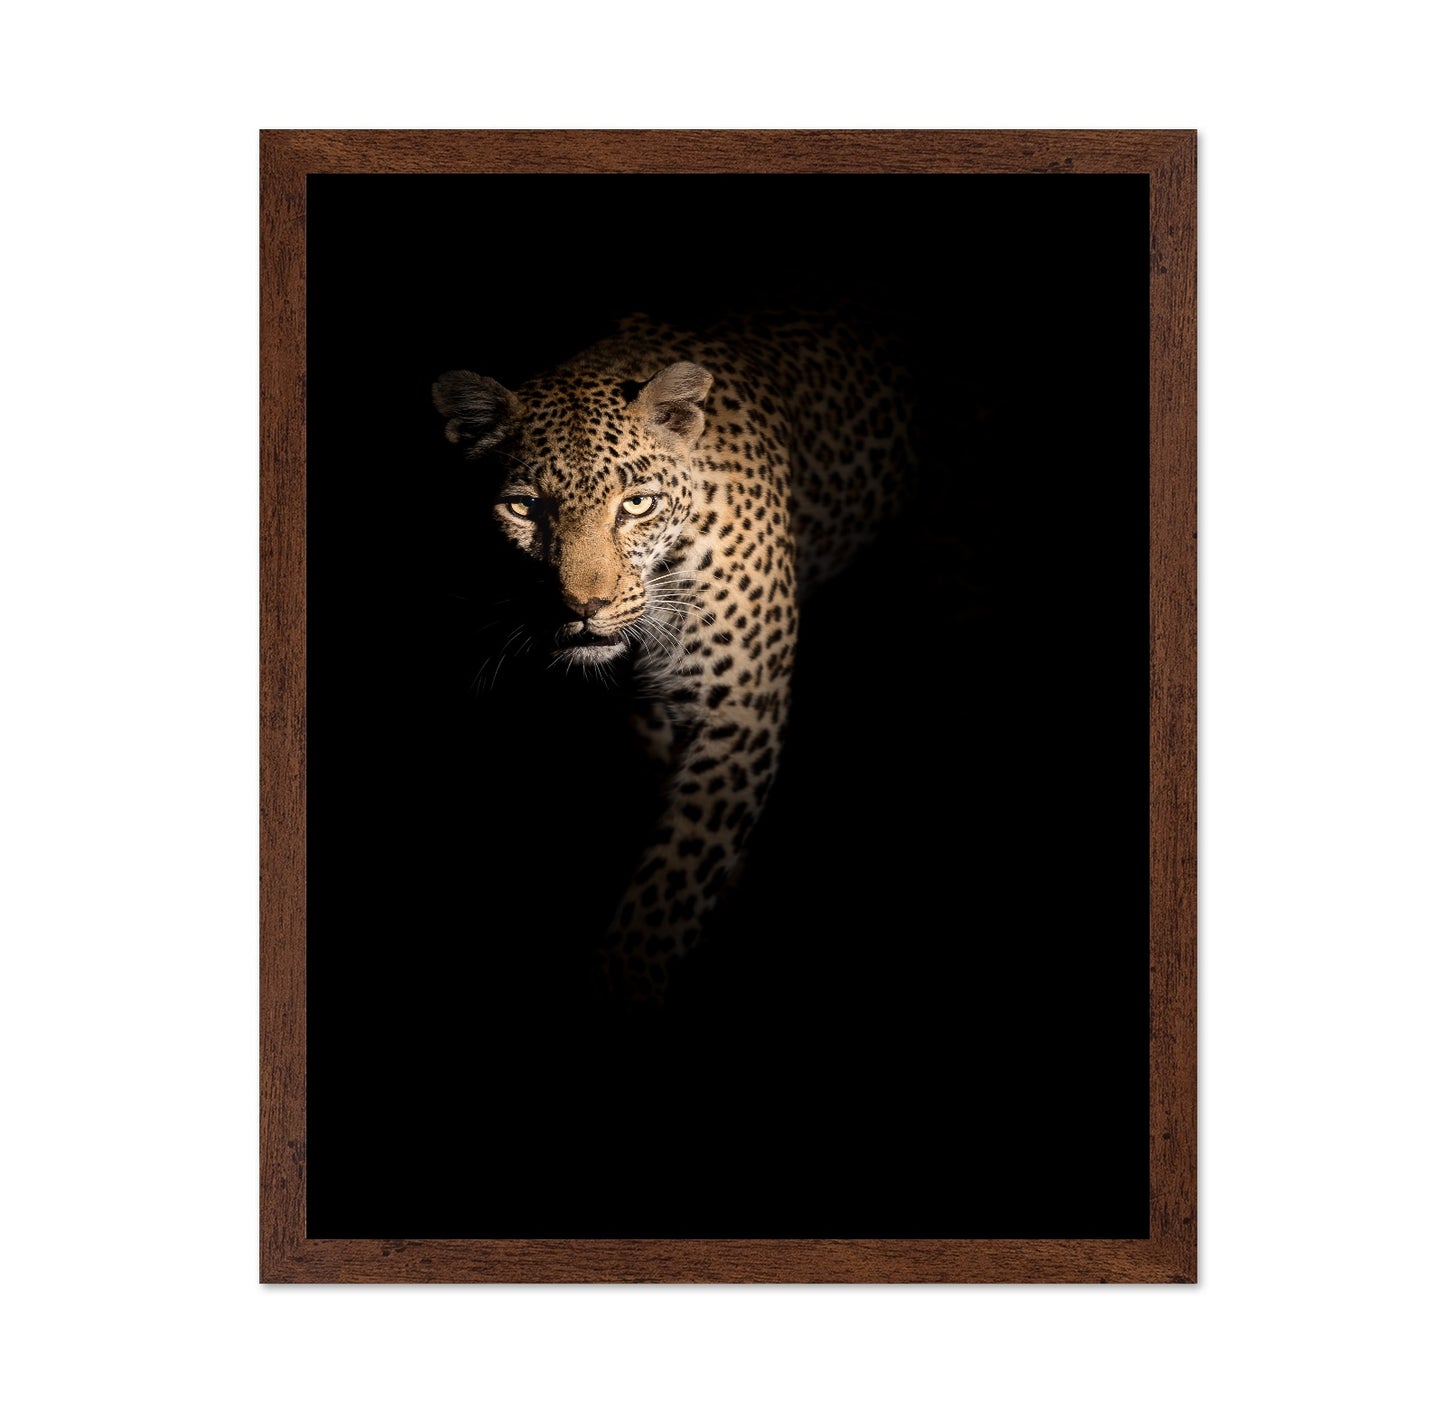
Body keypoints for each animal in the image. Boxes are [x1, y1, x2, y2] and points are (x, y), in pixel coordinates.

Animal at [433, 310, 914, 1001]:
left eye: (637, 504)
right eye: (523, 507)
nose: (584, 607)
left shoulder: (739, 714)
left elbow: (669, 890)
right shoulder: (648, 714)